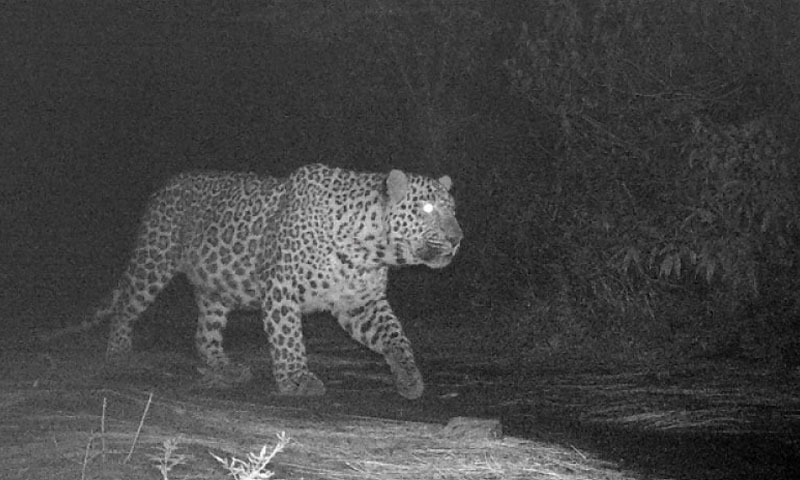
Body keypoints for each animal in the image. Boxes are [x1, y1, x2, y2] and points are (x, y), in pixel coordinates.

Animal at [78, 163, 462, 399]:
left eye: (453, 210)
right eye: (426, 209)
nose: (458, 238)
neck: (371, 248)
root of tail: (163, 189)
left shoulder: (360, 303)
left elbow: (395, 335)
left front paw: (409, 377)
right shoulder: (281, 287)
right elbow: (288, 337)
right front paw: (296, 379)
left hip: (217, 288)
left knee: (205, 334)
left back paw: (225, 369)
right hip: (154, 262)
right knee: (126, 306)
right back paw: (119, 353)